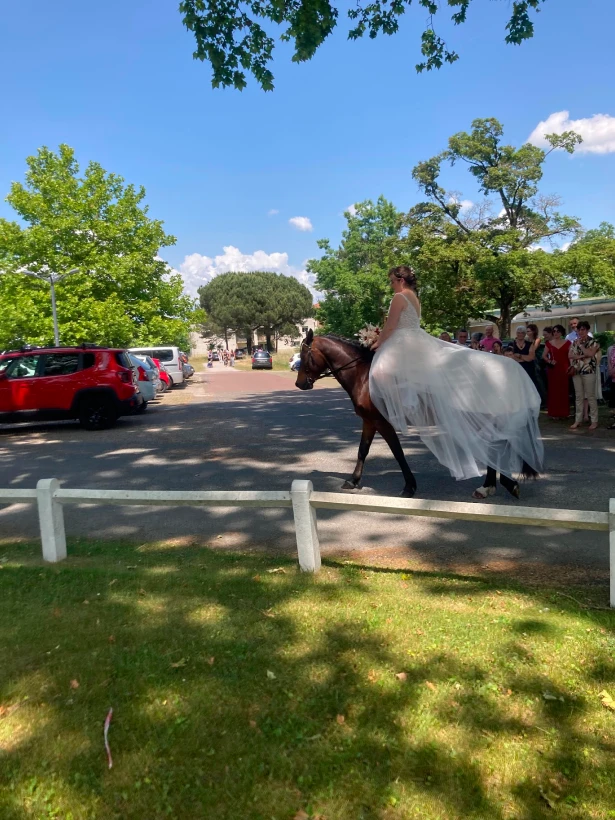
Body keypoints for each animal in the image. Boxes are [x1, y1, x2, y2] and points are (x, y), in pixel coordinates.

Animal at [294, 329, 537, 498]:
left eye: (304, 355)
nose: (299, 384)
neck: (364, 376)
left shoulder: (382, 422)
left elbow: (397, 452)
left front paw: (409, 486)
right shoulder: (369, 421)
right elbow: (362, 450)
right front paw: (353, 481)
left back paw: (495, 486)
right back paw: (491, 486)